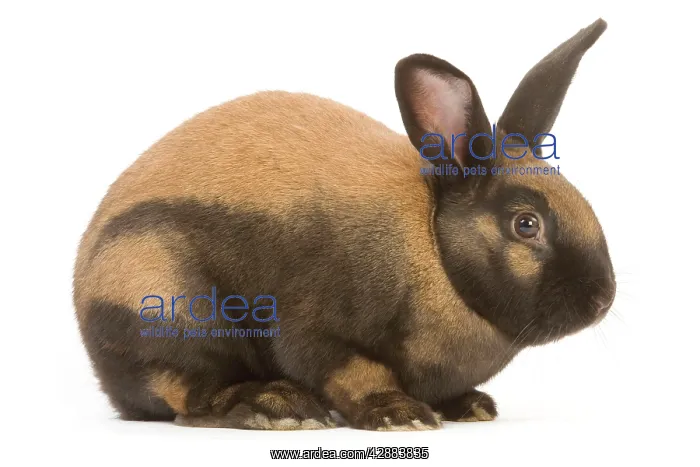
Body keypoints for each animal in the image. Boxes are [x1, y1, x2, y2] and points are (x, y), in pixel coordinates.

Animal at [73, 18, 614, 431]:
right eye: (526, 224)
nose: (602, 299)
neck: (434, 246)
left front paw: (468, 405)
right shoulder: (319, 326)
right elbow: (352, 370)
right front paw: (400, 415)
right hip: (167, 301)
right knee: (187, 391)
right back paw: (278, 407)